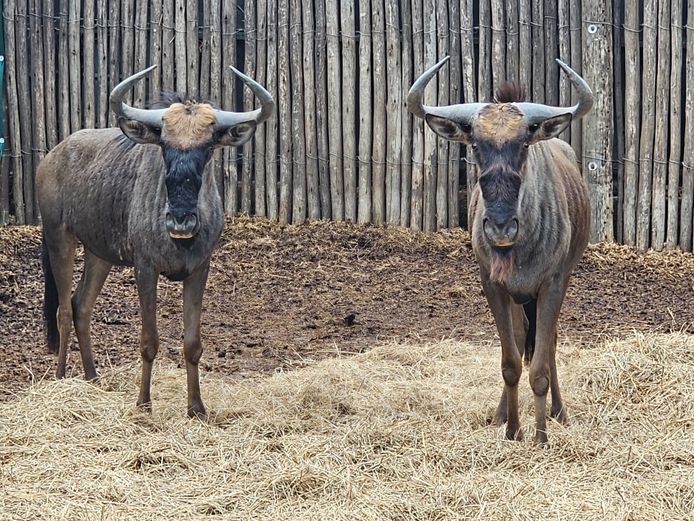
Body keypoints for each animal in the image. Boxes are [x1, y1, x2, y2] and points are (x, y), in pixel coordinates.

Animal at [408, 56, 592, 444]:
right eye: (476, 144)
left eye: (523, 143)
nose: (500, 227)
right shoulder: (493, 286)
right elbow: (510, 362)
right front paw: (511, 430)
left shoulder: (552, 284)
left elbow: (539, 366)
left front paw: (540, 436)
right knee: (522, 340)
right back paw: (502, 414)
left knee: (548, 343)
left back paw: (559, 412)